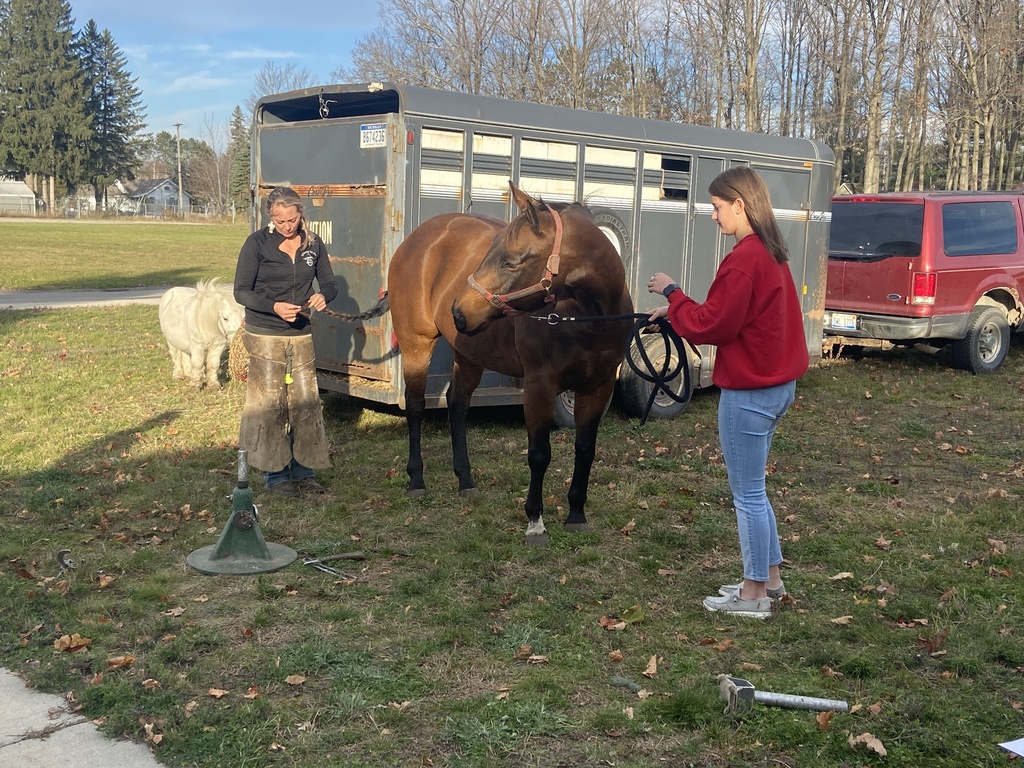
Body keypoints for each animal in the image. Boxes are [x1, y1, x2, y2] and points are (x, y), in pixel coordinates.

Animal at [385, 182, 630, 544]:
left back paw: (466, 481)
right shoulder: (539, 386)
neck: (587, 317)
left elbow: (585, 448)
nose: (459, 311)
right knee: (415, 406)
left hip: (469, 353)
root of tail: (417, 238)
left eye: (512, 262)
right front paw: (535, 521)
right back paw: (417, 480)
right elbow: (539, 453)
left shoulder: (598, 386)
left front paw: (576, 514)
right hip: (416, 344)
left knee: (457, 405)